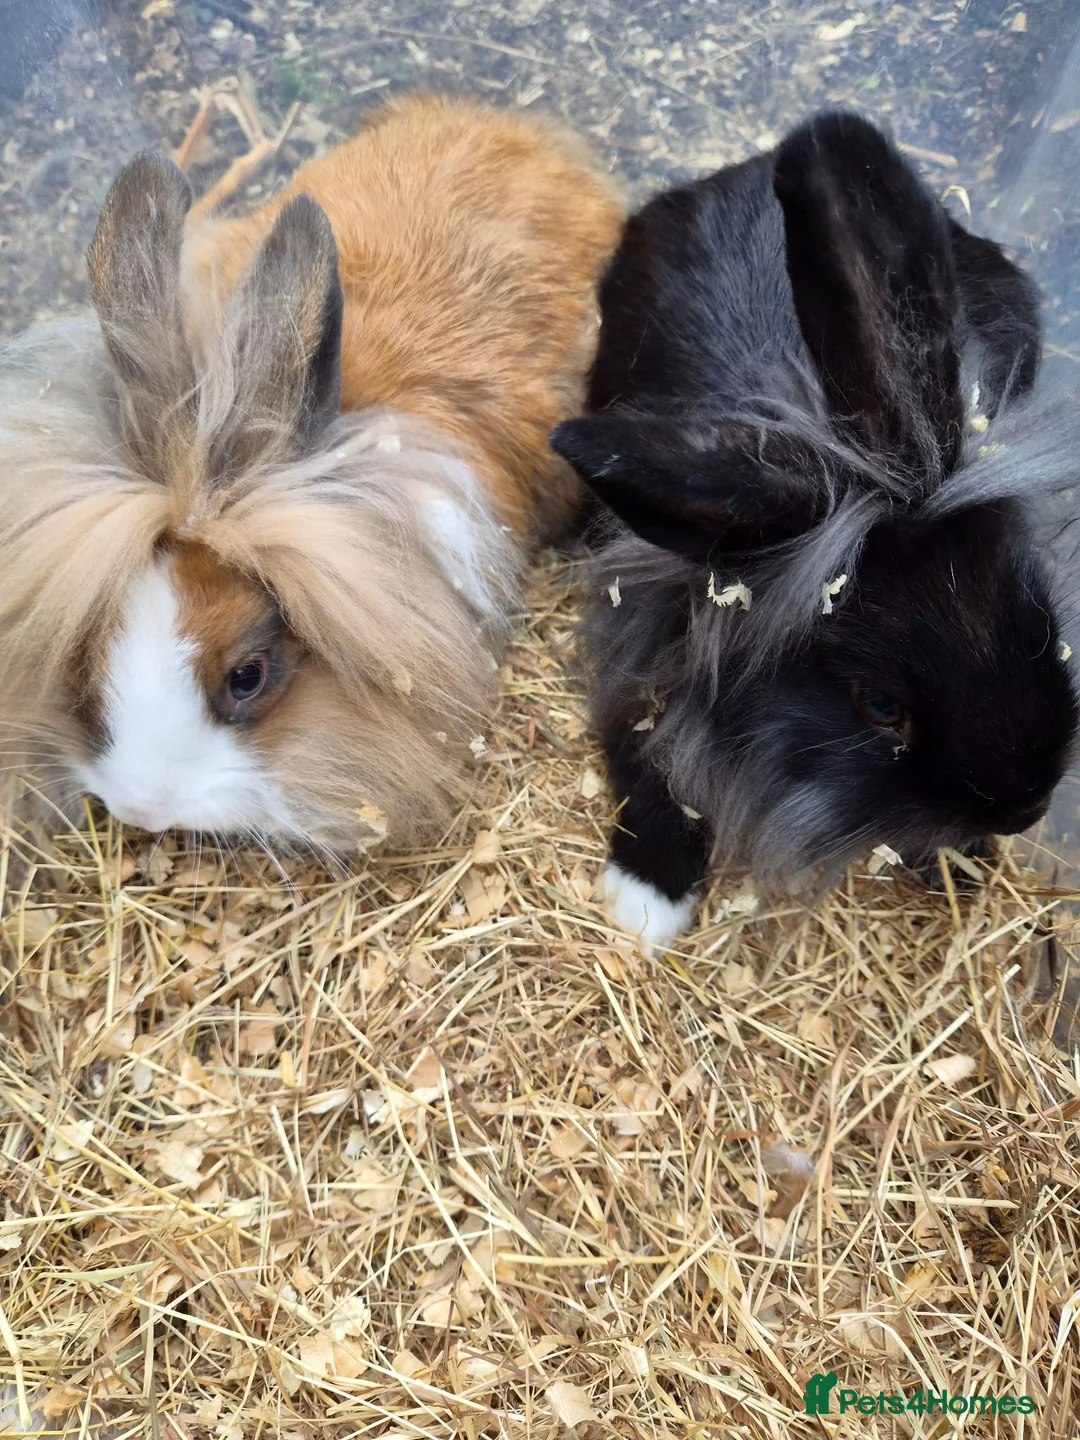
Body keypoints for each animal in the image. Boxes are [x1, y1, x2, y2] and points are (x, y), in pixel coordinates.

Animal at [550, 109, 1080, 947]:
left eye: (1041, 621)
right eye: (881, 707)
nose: (1025, 809)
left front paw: (966, 863)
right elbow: (652, 768)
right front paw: (646, 903)